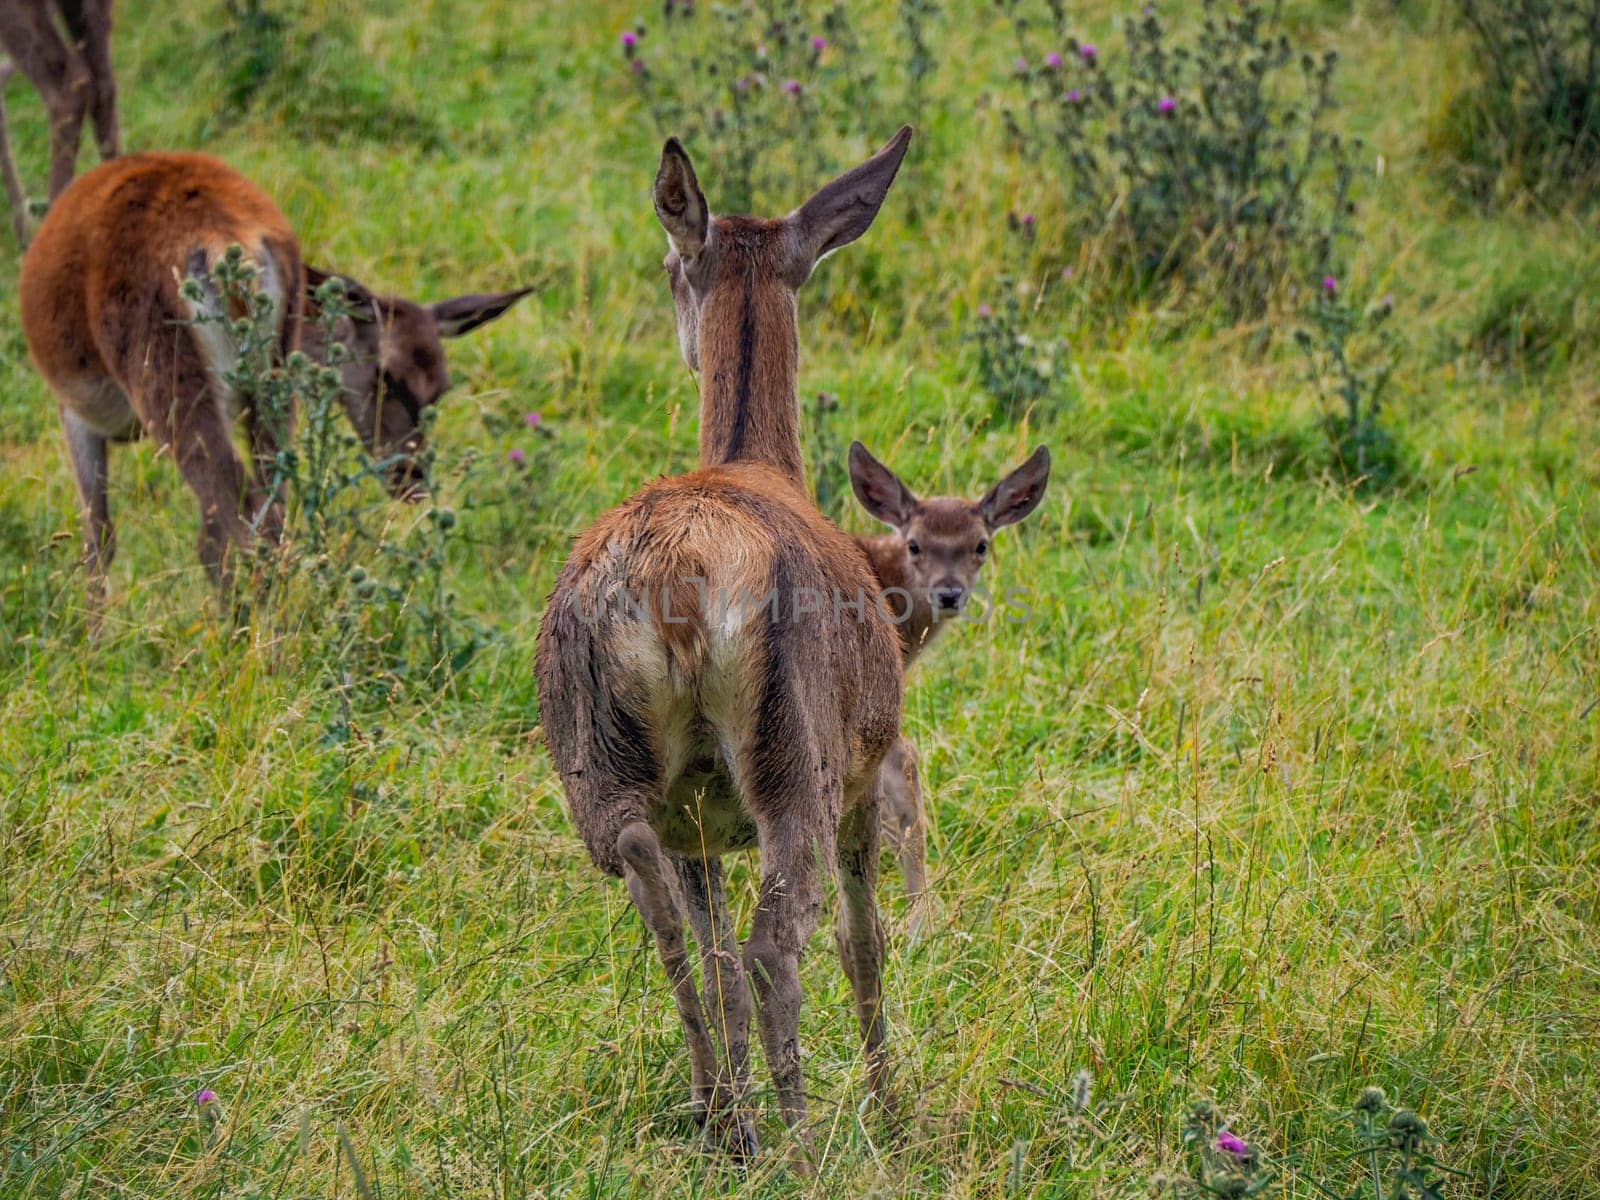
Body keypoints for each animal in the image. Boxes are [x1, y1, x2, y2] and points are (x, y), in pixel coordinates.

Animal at [17, 155, 531, 598]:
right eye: (386, 375)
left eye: (439, 390)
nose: (413, 477)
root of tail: (229, 246)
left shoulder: (74, 412)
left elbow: (97, 540)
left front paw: (93, 638)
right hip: (271, 389)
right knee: (269, 516)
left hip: (171, 381)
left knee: (226, 524)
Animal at [537, 127, 915, 1171]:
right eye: (671, 270)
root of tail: (678, 580)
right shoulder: (869, 771)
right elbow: (865, 944)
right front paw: (895, 1109)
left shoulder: (702, 822)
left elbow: (710, 949)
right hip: (797, 755)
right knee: (776, 943)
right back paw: (801, 1140)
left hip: (605, 760)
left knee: (669, 918)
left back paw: (721, 1113)